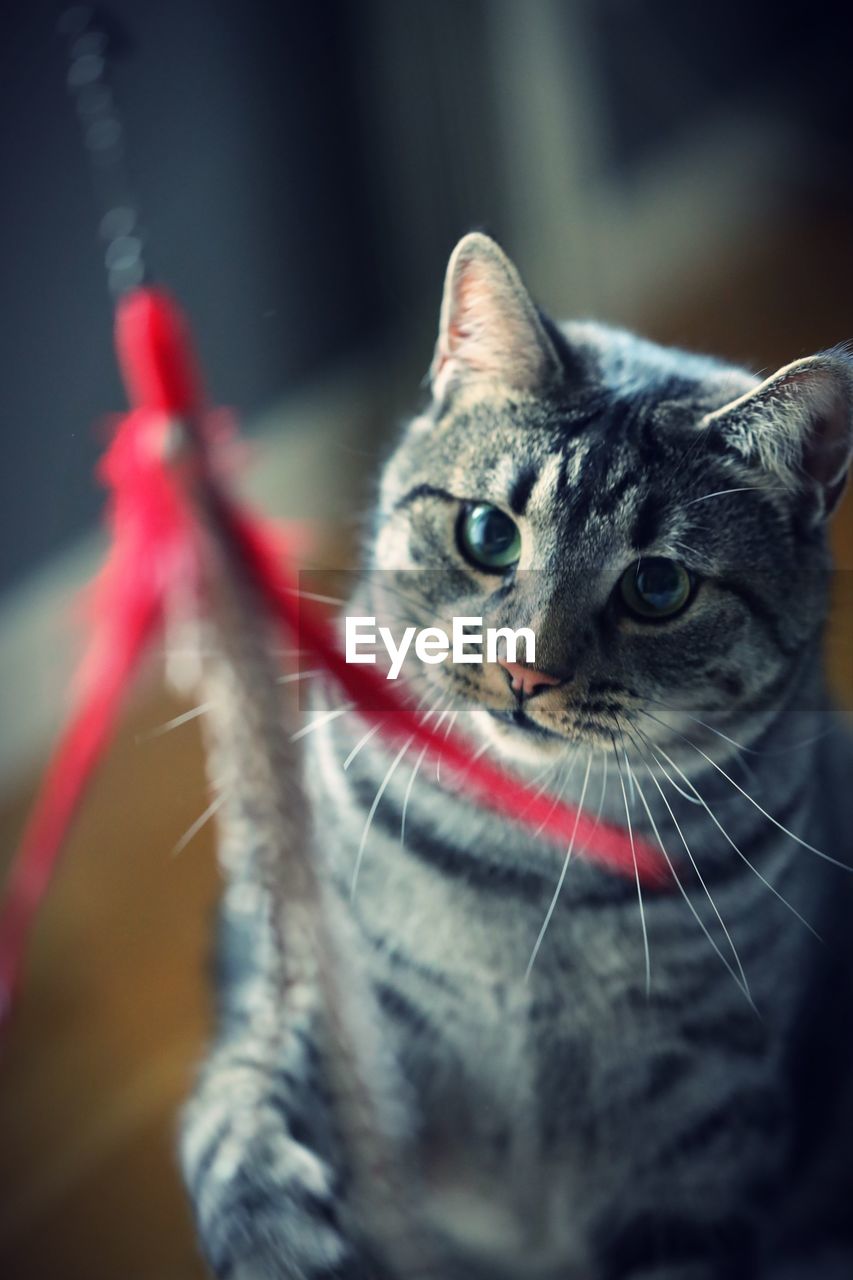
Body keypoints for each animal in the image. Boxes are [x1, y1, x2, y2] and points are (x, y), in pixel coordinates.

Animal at [179, 232, 850, 1280]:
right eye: (488, 533)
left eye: (658, 587)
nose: (523, 669)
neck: (528, 873)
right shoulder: (333, 987)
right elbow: (244, 1099)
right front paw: (273, 1226)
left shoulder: (705, 1100)